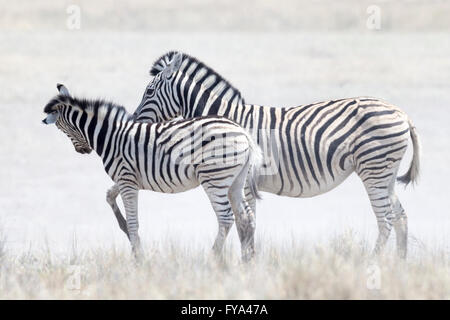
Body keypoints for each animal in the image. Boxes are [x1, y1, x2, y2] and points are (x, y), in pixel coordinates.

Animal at [42, 84, 264, 262]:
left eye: (62, 130)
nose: (82, 151)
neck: (110, 136)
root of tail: (243, 133)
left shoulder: (127, 180)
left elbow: (134, 223)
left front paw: (138, 258)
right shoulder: (125, 179)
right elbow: (110, 197)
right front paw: (125, 231)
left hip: (214, 177)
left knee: (226, 218)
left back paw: (213, 258)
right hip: (236, 180)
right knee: (246, 217)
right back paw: (247, 260)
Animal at [132, 51, 420, 258]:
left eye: (149, 92)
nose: (134, 120)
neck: (226, 119)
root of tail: (402, 113)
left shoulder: (244, 185)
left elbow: (245, 225)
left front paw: (246, 262)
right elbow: (247, 225)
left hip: (374, 168)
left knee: (385, 219)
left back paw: (374, 263)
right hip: (386, 173)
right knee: (401, 217)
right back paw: (399, 264)